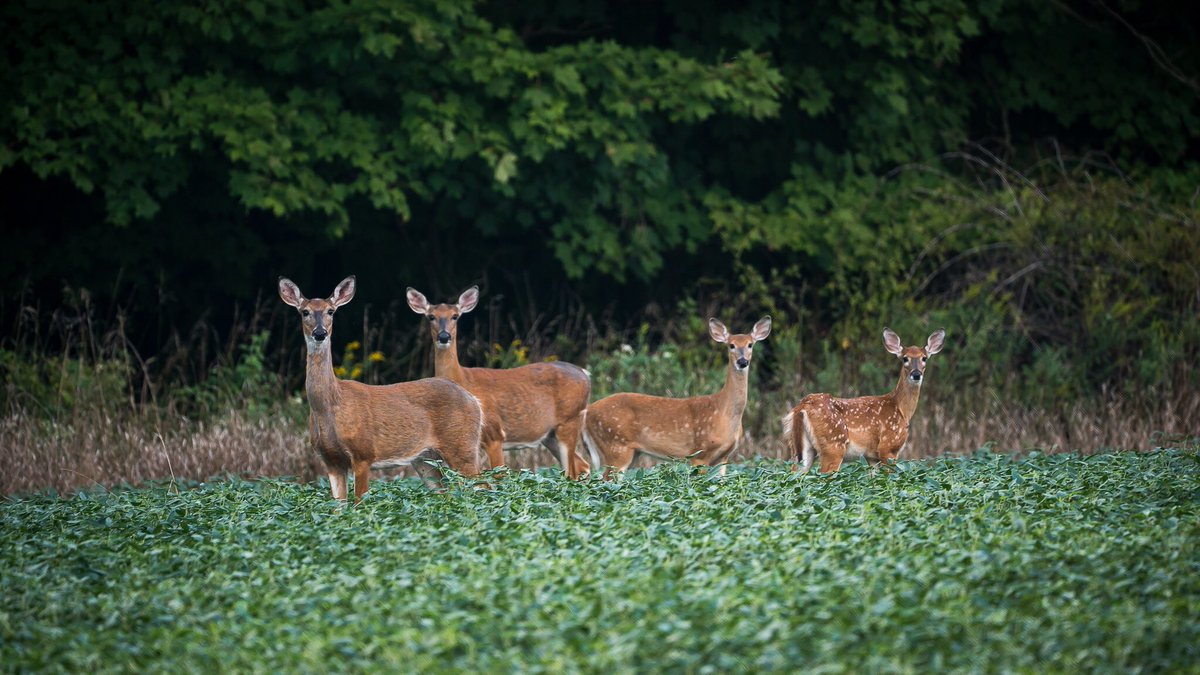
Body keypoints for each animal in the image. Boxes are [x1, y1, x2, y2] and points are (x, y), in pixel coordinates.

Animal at [279, 276, 484, 501]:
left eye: (330, 311)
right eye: (305, 312)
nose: (320, 333)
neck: (331, 405)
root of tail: (474, 400)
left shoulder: (363, 453)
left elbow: (359, 502)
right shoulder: (331, 461)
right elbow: (339, 506)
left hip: (462, 446)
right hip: (424, 459)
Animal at [406, 286, 592, 479]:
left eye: (455, 316)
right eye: (431, 316)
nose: (444, 336)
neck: (463, 379)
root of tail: (584, 373)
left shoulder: (494, 434)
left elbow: (499, 476)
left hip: (569, 421)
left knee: (573, 471)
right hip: (550, 435)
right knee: (583, 466)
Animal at [581, 316, 772, 477]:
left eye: (750, 344)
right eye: (731, 345)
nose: (742, 362)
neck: (724, 412)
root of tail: (588, 412)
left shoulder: (723, 457)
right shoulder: (700, 452)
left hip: (631, 452)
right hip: (616, 445)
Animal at [783, 328, 946, 474]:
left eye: (924, 358)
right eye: (905, 358)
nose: (916, 374)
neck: (901, 409)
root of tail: (803, 406)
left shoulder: (871, 456)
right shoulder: (888, 446)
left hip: (800, 448)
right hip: (833, 445)